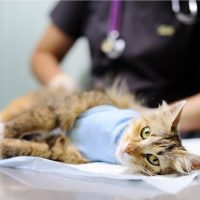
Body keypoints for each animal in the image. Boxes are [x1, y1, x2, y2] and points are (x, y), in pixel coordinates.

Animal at [0, 86, 200, 175]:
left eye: (153, 159)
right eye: (146, 132)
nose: (128, 149)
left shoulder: (59, 150)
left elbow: (24, 148)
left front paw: (5, 144)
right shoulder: (63, 110)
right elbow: (25, 123)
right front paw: (5, 131)